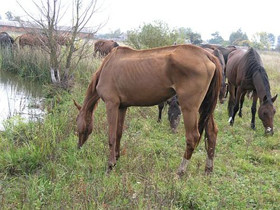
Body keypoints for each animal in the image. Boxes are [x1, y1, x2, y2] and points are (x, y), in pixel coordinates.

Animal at [73, 44, 222, 176]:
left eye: (77, 123)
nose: (78, 147)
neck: (107, 66)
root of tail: (207, 55)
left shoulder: (112, 104)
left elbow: (111, 136)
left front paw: (110, 166)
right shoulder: (122, 107)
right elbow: (119, 133)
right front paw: (117, 158)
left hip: (189, 108)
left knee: (193, 137)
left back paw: (180, 172)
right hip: (204, 107)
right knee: (212, 132)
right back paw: (208, 170)